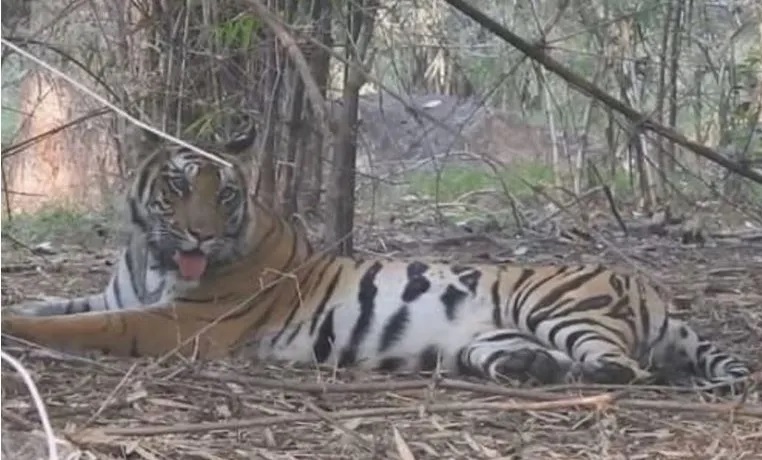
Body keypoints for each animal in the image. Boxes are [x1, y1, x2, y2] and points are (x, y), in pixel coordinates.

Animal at [0, 126, 748, 392]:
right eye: (179, 187)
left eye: (228, 193)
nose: (203, 236)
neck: (150, 254)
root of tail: (653, 292)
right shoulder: (119, 296)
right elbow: (54, 303)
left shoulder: (177, 323)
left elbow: (74, 326)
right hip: (490, 336)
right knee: (536, 357)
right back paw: (533, 370)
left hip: (556, 304)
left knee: (624, 365)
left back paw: (595, 375)